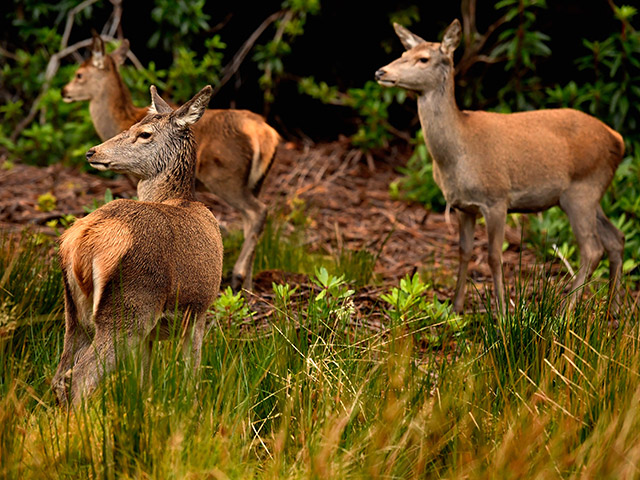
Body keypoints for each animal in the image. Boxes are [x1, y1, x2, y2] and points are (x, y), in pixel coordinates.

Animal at [51, 85, 224, 404]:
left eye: (144, 133)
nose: (92, 151)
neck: (178, 198)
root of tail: (83, 241)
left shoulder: (153, 334)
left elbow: (144, 380)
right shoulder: (200, 309)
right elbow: (190, 373)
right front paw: (192, 407)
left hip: (73, 309)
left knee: (59, 375)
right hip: (130, 305)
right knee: (81, 376)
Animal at [62, 32, 280, 292]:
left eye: (79, 74)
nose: (64, 91)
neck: (121, 117)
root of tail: (267, 135)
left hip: (226, 178)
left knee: (257, 211)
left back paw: (237, 275)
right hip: (255, 182)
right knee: (252, 219)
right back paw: (247, 284)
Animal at [376, 19, 624, 316]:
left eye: (423, 58)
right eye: (403, 53)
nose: (380, 71)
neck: (456, 155)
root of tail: (618, 140)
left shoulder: (496, 198)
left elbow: (494, 256)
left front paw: (503, 314)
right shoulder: (463, 206)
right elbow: (464, 252)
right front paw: (455, 308)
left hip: (582, 189)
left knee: (591, 248)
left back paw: (564, 313)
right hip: (591, 192)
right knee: (616, 239)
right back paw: (612, 311)